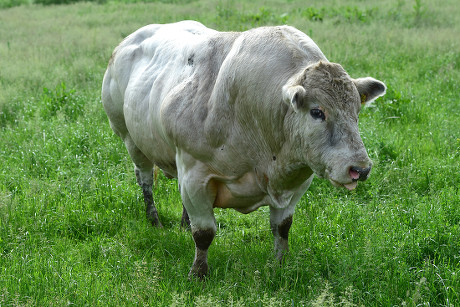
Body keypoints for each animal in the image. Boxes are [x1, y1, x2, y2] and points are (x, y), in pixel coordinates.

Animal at [100, 20, 384, 278]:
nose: (360, 168)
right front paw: (198, 274)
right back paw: (154, 221)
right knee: (145, 180)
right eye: (317, 112)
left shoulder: (299, 182)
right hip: (131, 139)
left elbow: (282, 228)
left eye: (356, 111)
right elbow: (204, 234)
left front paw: (280, 266)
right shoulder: (194, 172)